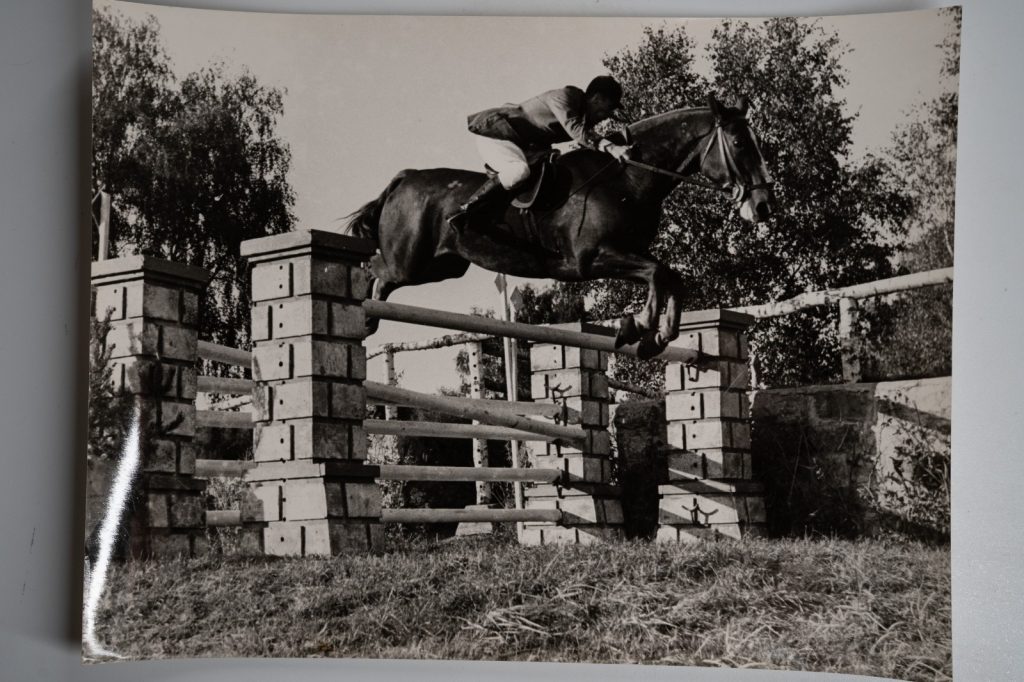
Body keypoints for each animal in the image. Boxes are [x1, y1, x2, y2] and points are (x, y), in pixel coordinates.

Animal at [344, 94, 775, 359]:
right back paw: (363, 314)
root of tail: (405, 178)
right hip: (409, 260)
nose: (764, 206)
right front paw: (636, 327)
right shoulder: (593, 258)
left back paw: (368, 318)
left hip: (442, 266)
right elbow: (658, 273)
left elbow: (670, 276)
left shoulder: (627, 253)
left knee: (385, 277)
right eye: (740, 143)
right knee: (376, 270)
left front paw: (657, 337)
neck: (627, 179)